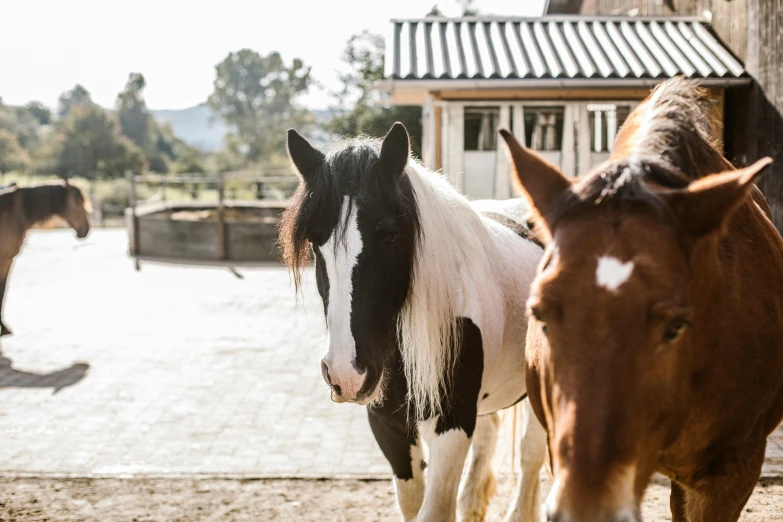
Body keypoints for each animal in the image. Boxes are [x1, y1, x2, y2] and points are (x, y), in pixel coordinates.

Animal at [284, 123, 548, 520]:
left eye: (389, 235)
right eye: (316, 243)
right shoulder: (388, 425)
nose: (346, 372)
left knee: (531, 456)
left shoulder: (452, 424)